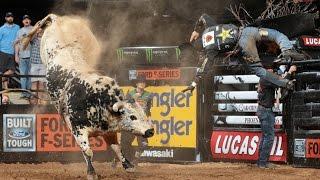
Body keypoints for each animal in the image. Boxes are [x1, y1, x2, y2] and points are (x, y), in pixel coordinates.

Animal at [24, 14, 154, 180]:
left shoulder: (109, 131)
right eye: (132, 117)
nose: (150, 131)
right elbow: (88, 151)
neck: (97, 101)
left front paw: (129, 166)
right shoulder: (78, 130)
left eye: (143, 113)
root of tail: (57, 19)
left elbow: (117, 148)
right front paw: (91, 173)